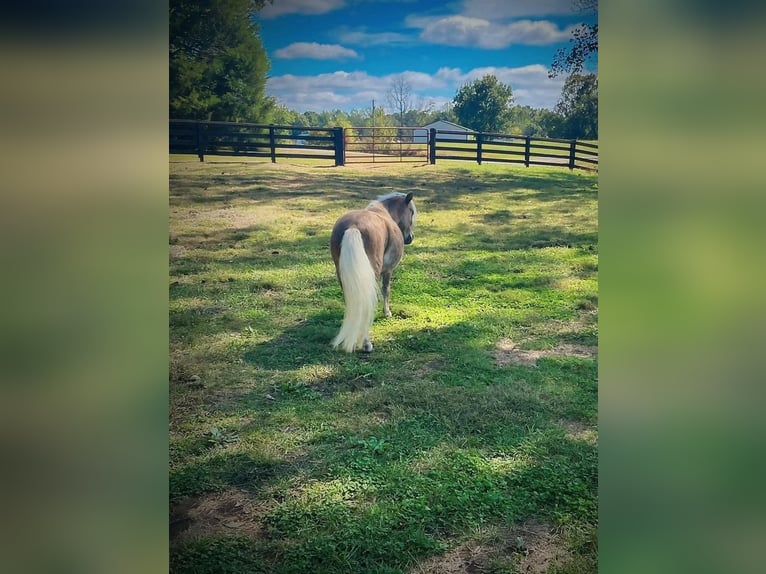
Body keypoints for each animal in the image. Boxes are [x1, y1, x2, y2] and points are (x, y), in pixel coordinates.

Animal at [330, 192, 417, 353]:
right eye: (411, 212)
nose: (410, 238)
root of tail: (353, 227)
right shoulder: (388, 270)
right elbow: (386, 290)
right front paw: (387, 313)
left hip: (342, 276)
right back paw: (366, 344)